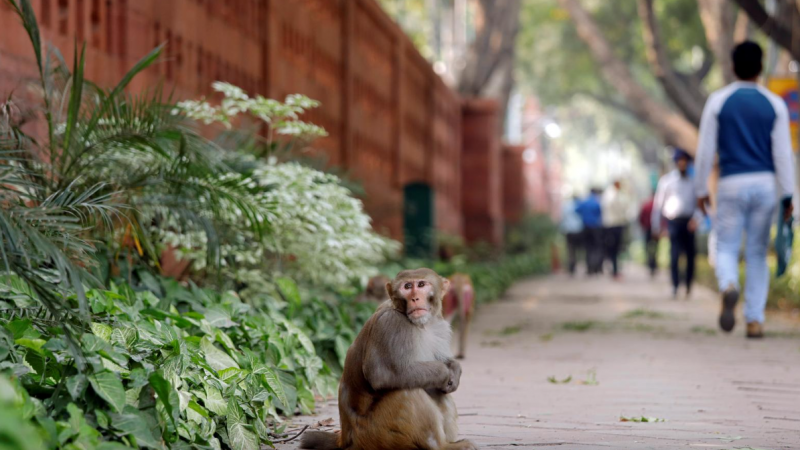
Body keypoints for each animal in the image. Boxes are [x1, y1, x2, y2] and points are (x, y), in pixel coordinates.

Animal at [298, 268, 476, 448]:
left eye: (421, 284)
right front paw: (444, 372)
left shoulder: (439, 326)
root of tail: (346, 439)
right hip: (377, 434)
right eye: (407, 286)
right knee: (408, 391)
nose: (415, 298)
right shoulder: (390, 324)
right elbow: (382, 375)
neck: (421, 324)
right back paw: (442, 446)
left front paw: (454, 370)